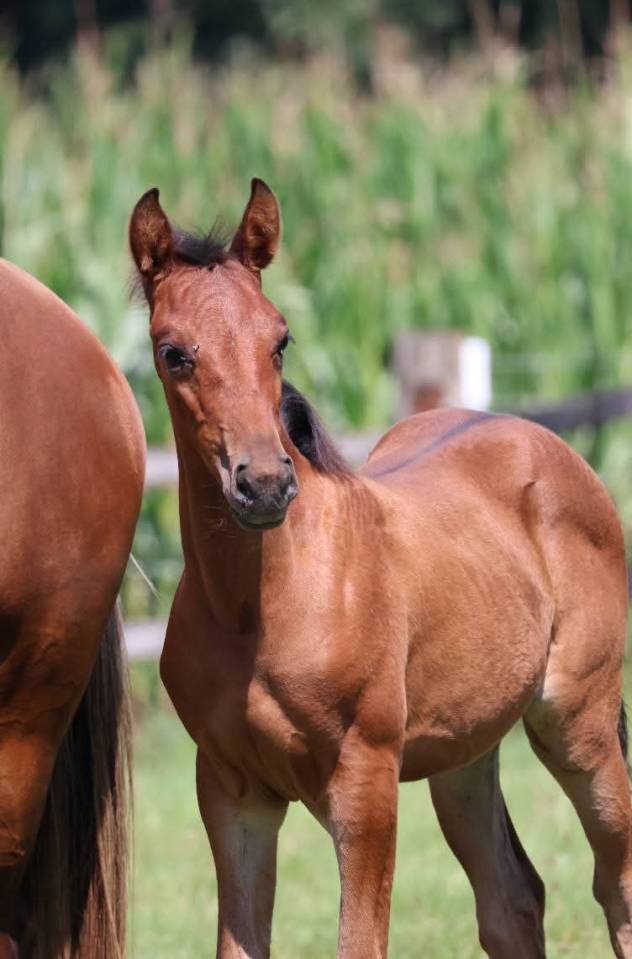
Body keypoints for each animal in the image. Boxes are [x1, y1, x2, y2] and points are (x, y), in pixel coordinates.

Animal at [129, 179, 632, 958]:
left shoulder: (365, 781)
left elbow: (360, 942)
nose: (264, 484)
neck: (260, 606)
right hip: (464, 749)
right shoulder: (231, 792)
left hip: (579, 724)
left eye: (280, 339)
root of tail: (540, 440)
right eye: (172, 351)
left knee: (616, 883)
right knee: (511, 898)